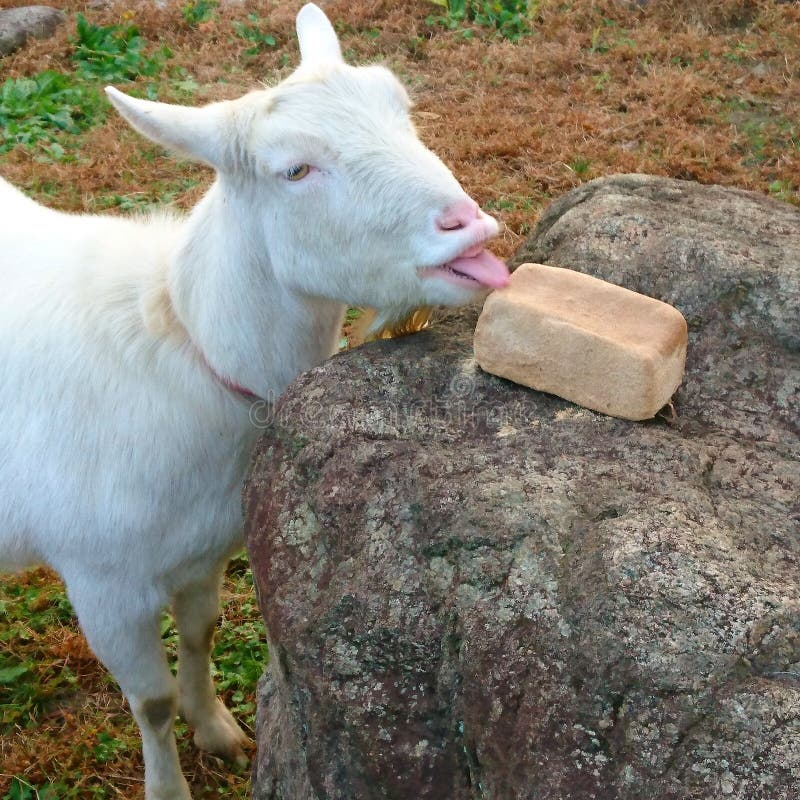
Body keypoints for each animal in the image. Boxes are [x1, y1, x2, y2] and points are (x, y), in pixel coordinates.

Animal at [0, 4, 509, 798]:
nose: (471, 227)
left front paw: (218, 732)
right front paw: (168, 784)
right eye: (294, 170)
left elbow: (201, 632)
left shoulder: (203, 549)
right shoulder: (102, 584)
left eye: (402, 108)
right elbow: (149, 702)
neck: (182, 339)